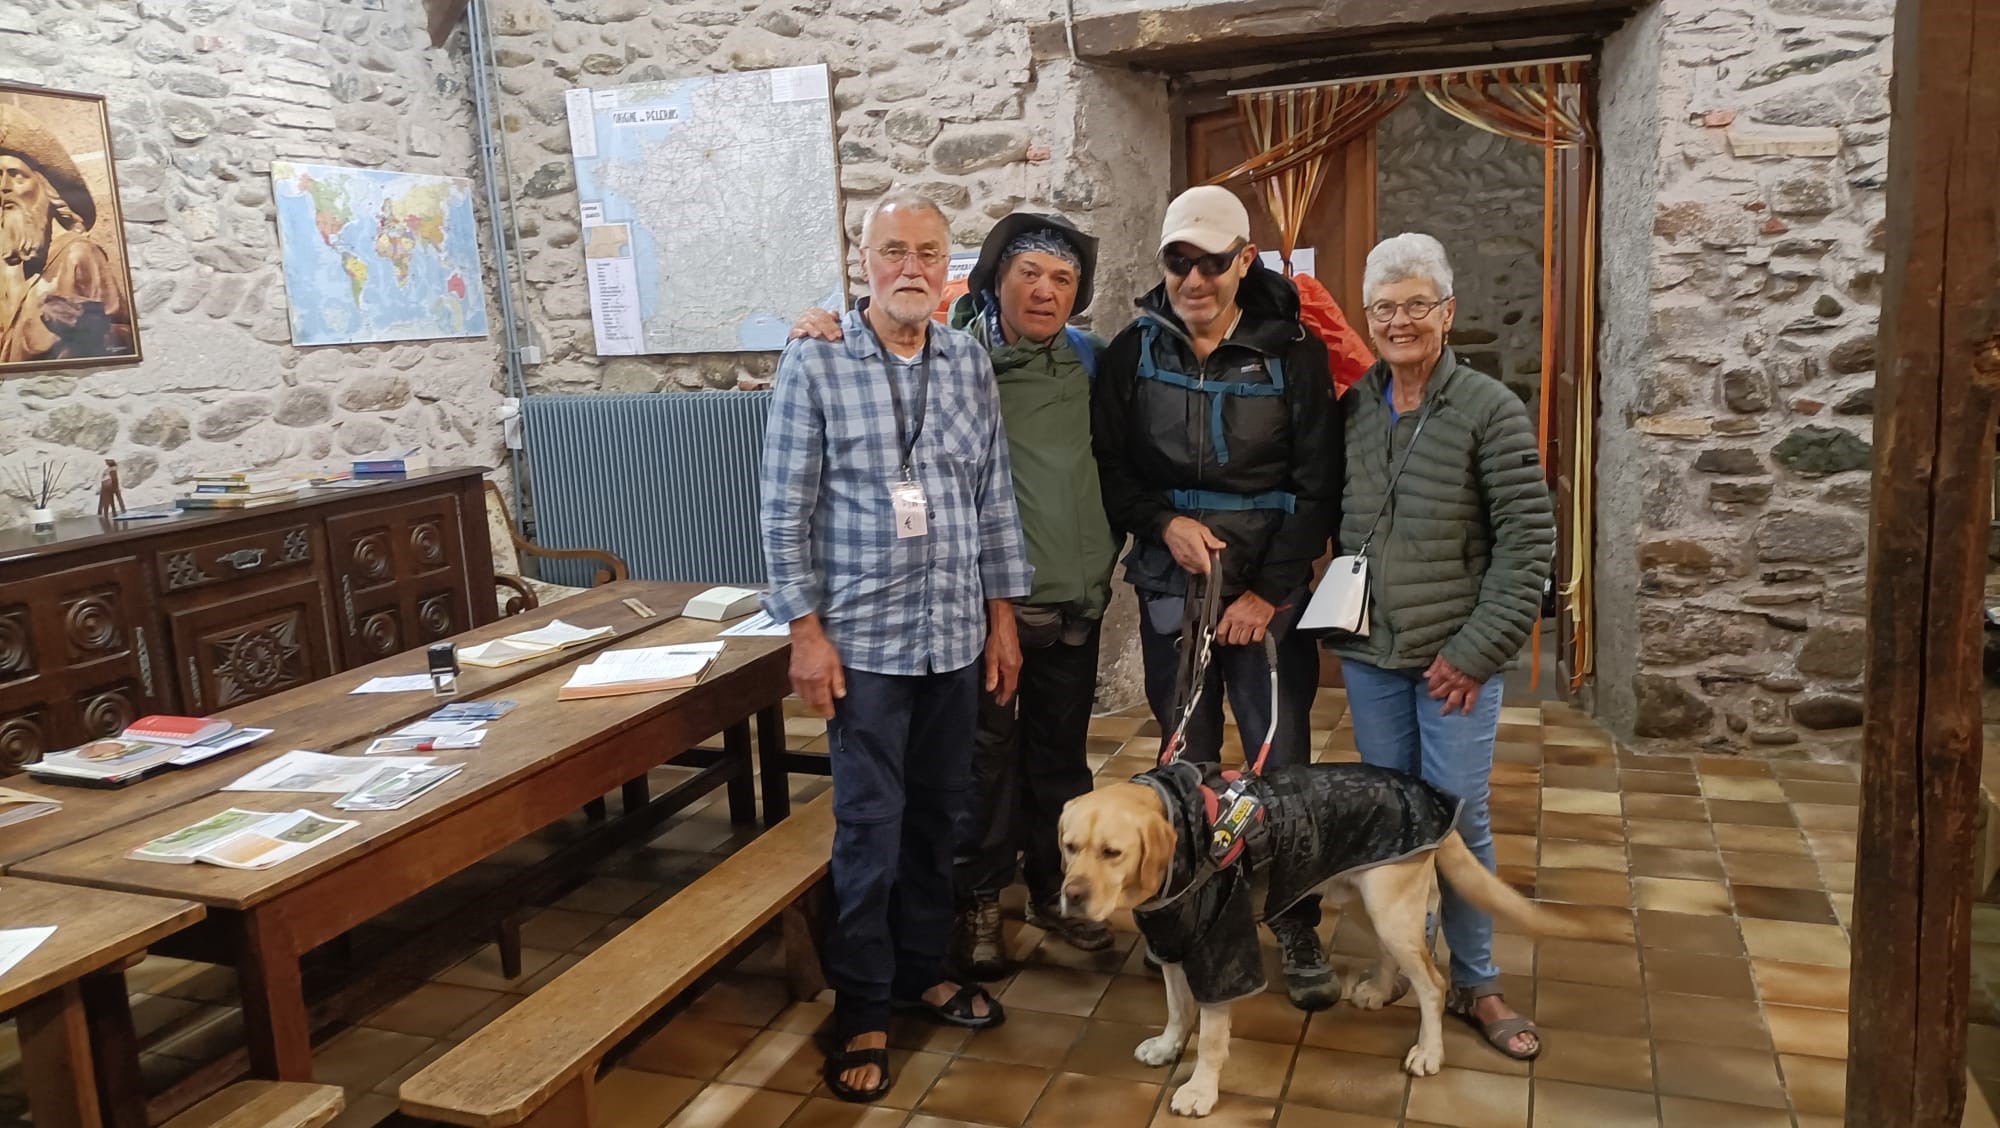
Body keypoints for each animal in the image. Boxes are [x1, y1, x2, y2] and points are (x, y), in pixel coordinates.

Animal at [1056, 756, 1568, 1120]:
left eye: (1112, 852)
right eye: (1069, 846)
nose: (1072, 896)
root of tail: (1420, 787)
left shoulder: (1223, 950)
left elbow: (1211, 1038)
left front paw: (1200, 1090)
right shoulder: (1173, 941)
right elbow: (1178, 1010)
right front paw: (1166, 1047)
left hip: (1389, 908)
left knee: (1432, 985)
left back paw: (1428, 1052)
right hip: (1366, 899)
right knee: (1391, 955)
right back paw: (1379, 991)